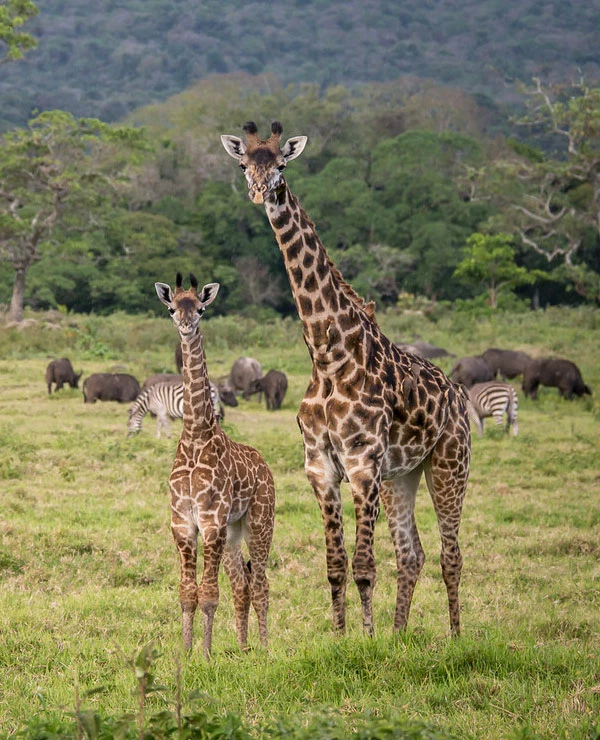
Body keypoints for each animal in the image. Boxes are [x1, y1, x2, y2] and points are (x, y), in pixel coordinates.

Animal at [155, 272, 275, 658]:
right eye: (172, 307)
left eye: (202, 308)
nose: (186, 324)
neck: (195, 436)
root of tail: (265, 466)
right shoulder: (182, 523)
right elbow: (187, 594)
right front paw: (186, 651)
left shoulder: (211, 522)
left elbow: (208, 594)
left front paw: (205, 655)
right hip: (234, 532)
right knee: (243, 584)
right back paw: (242, 646)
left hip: (259, 522)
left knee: (262, 583)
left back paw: (264, 648)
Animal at [221, 122, 471, 638]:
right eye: (244, 164)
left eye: (282, 164)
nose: (261, 191)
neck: (328, 356)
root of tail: (459, 397)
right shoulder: (320, 466)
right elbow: (335, 565)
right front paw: (342, 637)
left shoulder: (361, 463)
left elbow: (363, 566)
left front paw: (367, 639)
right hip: (402, 475)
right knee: (412, 553)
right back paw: (400, 636)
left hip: (449, 464)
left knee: (450, 555)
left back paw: (455, 637)